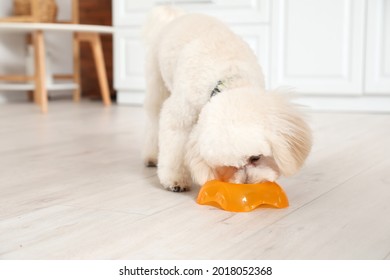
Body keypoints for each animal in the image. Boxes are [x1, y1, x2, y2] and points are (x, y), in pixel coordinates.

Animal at [142, 6, 312, 191]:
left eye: (256, 157)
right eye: (228, 165)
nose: (247, 185)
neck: (229, 78)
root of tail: (175, 17)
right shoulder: (180, 115)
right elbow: (173, 148)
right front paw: (175, 179)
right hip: (156, 84)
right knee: (153, 120)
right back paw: (151, 156)